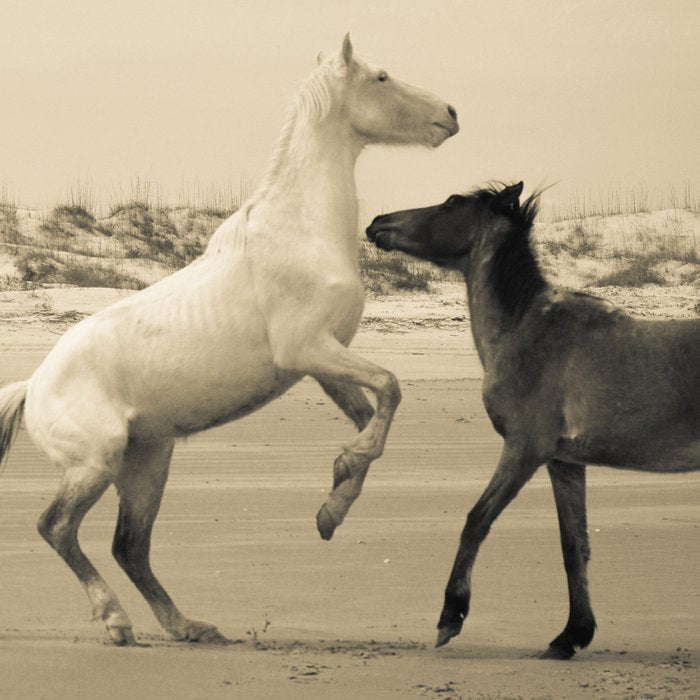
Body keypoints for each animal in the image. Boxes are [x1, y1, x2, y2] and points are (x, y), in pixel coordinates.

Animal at [0, 35, 458, 646]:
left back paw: (187, 626)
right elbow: (391, 387)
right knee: (57, 528)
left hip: (149, 463)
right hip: (96, 463)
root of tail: (32, 385)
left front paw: (333, 507)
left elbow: (372, 419)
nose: (450, 115)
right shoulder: (309, 349)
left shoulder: (322, 362)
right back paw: (116, 622)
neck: (301, 232)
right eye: (381, 77)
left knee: (130, 547)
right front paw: (339, 485)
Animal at [366, 181, 700, 658]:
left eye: (451, 203)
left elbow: (476, 521)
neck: (527, 331)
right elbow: (574, 546)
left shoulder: (524, 451)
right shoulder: (564, 462)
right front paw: (571, 635)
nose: (377, 223)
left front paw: (451, 617)